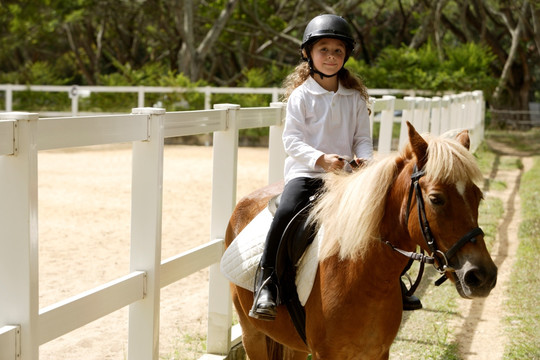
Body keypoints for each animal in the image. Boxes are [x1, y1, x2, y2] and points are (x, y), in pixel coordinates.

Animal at [225, 122, 498, 358]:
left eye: (478, 196)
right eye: (436, 199)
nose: (482, 276)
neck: (364, 275)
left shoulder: (377, 352)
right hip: (252, 335)